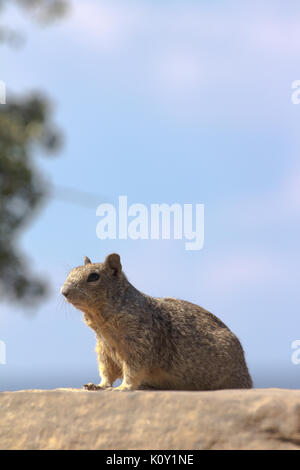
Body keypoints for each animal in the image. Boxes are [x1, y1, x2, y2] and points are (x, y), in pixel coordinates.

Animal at [59, 255, 252, 392]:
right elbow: (106, 370)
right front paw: (98, 385)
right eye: (71, 272)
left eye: (94, 276)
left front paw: (123, 387)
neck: (101, 322)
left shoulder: (139, 342)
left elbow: (134, 368)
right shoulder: (104, 349)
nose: (64, 292)